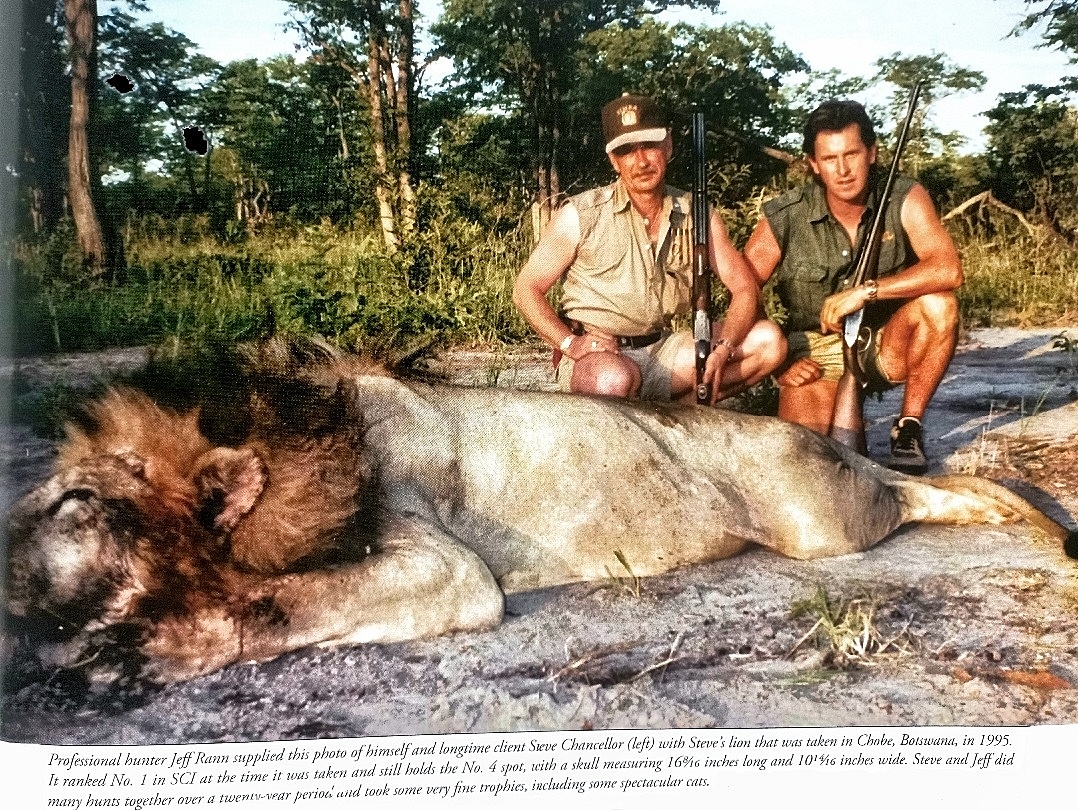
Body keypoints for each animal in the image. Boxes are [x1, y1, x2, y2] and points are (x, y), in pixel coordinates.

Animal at [4, 338, 1073, 681]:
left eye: (77, 501)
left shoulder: (447, 568)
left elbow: (285, 603)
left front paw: (146, 648)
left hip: (823, 523)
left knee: (924, 489)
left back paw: (1029, 525)